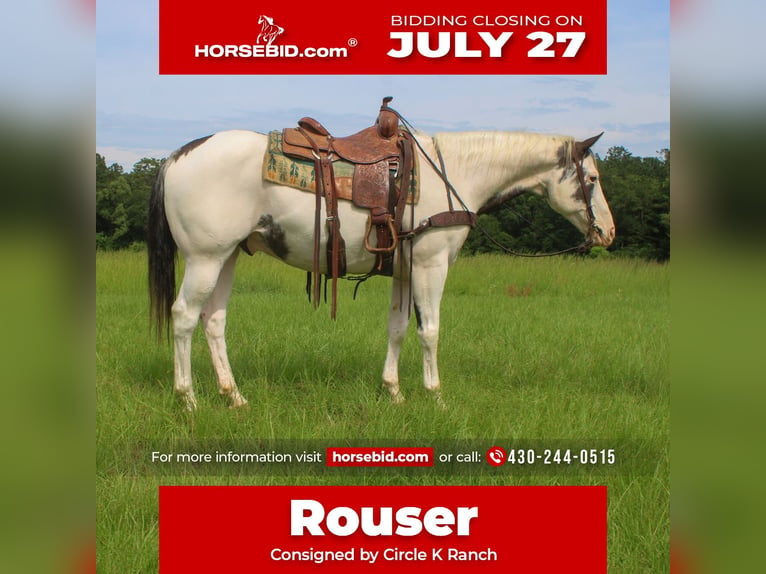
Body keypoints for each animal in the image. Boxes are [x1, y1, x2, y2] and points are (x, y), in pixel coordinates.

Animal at [148, 125, 615, 410]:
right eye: (592, 179)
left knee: (213, 320)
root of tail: (174, 158)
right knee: (184, 317)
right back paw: (188, 399)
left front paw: (394, 392)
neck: (454, 174)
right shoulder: (430, 265)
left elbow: (398, 329)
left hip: (226, 256)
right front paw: (435, 396)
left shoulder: (405, 272)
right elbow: (430, 331)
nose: (608, 233)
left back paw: (234, 397)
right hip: (205, 259)